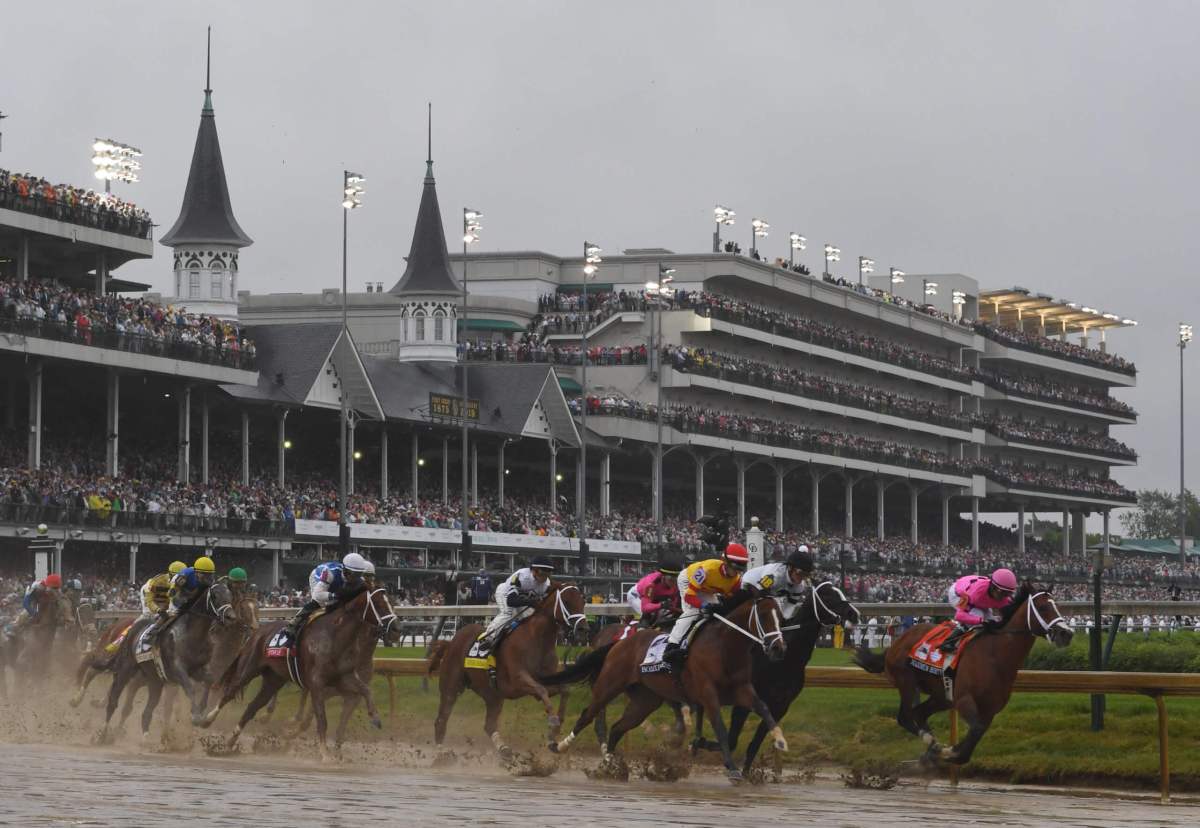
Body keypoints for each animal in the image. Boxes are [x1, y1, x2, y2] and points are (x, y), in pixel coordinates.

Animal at [97, 580, 234, 744]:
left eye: (230, 595)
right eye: (215, 595)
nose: (231, 617)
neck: (193, 634)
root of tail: (130, 630)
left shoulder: (198, 669)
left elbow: (209, 681)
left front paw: (203, 713)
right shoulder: (178, 669)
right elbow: (190, 688)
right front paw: (195, 715)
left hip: (155, 681)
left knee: (146, 712)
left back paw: (146, 740)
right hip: (125, 670)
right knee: (113, 701)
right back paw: (103, 734)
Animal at [199, 580, 400, 753]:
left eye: (391, 602)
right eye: (379, 604)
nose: (397, 628)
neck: (335, 636)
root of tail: (257, 632)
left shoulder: (344, 678)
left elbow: (366, 690)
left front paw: (375, 718)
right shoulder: (317, 684)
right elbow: (321, 719)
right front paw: (325, 755)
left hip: (274, 679)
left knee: (252, 707)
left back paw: (230, 742)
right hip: (248, 669)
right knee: (229, 693)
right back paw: (206, 720)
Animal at [432, 580, 590, 753]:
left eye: (583, 601)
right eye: (567, 602)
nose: (583, 629)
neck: (537, 639)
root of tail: (451, 642)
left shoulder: (547, 681)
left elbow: (565, 690)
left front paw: (555, 729)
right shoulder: (517, 681)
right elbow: (541, 690)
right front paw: (553, 722)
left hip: (492, 695)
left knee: (489, 725)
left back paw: (504, 750)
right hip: (451, 686)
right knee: (441, 719)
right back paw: (441, 753)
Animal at [544, 592, 787, 772]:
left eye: (781, 618)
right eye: (764, 616)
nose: (778, 648)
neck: (724, 646)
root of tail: (618, 643)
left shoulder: (742, 689)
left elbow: (763, 708)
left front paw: (780, 740)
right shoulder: (707, 694)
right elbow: (719, 726)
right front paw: (732, 768)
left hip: (645, 700)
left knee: (617, 728)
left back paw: (611, 765)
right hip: (609, 685)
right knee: (588, 715)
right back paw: (561, 746)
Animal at [859, 583, 1075, 763]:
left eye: (1057, 606)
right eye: (1043, 607)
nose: (1066, 634)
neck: (995, 656)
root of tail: (897, 642)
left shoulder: (989, 710)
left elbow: (974, 736)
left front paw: (950, 751)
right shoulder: (964, 700)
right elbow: (975, 730)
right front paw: (948, 751)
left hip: (942, 696)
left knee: (919, 713)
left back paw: (933, 747)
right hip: (907, 682)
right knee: (905, 716)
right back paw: (931, 742)